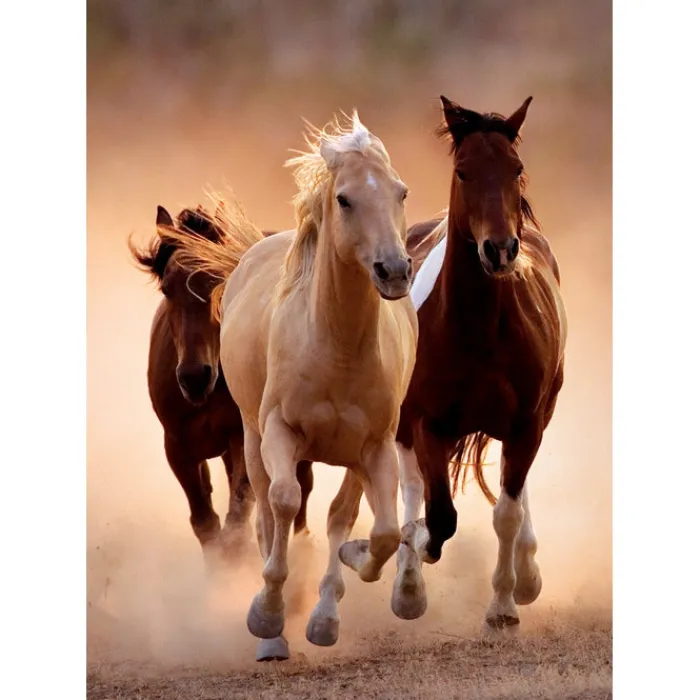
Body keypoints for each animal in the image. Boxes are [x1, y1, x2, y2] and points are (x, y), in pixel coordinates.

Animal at [128, 204, 315, 578]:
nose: (194, 377)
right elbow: (206, 522)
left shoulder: (241, 437)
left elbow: (237, 518)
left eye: (218, 281)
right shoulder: (178, 446)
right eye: (167, 288)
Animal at [168, 112, 419, 659]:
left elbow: (381, 532)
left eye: (401, 192)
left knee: (340, 514)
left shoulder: (376, 447)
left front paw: (350, 568)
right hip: (251, 438)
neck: (336, 347)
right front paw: (266, 615)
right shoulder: (279, 433)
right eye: (344, 198)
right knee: (266, 511)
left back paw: (324, 614)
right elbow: (282, 504)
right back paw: (274, 633)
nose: (394, 270)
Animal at [394, 95, 568, 630]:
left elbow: (507, 512)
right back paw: (407, 585)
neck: (479, 330)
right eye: (463, 171)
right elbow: (439, 515)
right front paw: (416, 552)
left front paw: (505, 605)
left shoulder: (526, 424)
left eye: (517, 169)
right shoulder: (427, 423)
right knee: (411, 485)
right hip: (404, 422)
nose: (500, 249)